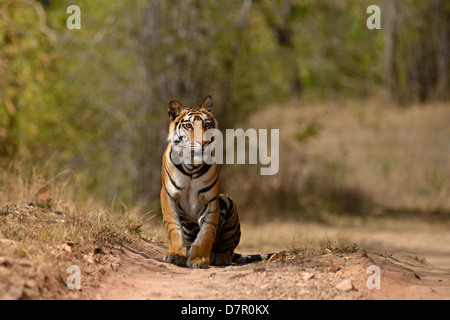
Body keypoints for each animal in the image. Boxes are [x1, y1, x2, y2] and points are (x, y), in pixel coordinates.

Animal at [162, 96, 272, 268]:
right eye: (188, 126)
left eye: (207, 125)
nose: (203, 142)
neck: (192, 165)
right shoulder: (169, 196)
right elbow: (173, 227)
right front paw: (175, 255)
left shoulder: (211, 200)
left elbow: (207, 232)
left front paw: (199, 258)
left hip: (228, 201)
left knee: (227, 248)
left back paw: (219, 257)